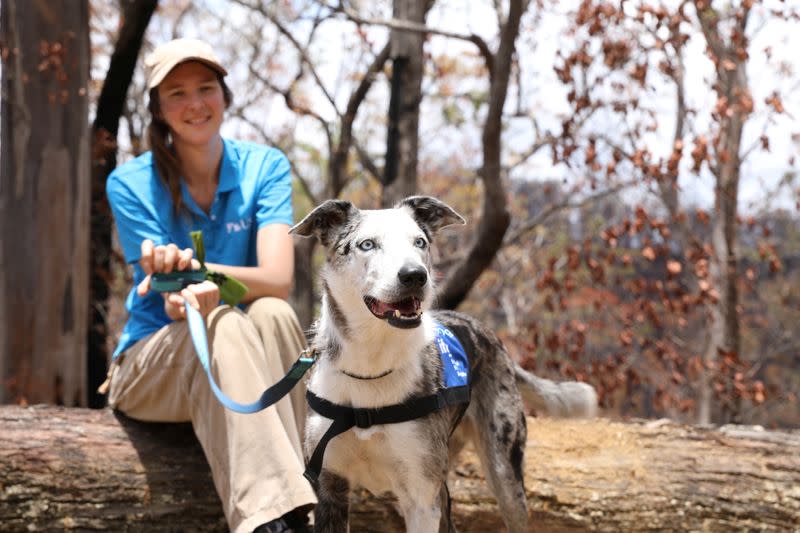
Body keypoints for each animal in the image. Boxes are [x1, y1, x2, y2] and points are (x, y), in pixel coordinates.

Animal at [290, 196, 596, 532]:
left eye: (419, 242)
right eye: (367, 244)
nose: (415, 275)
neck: (371, 367)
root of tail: (490, 335)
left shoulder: (421, 497)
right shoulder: (329, 487)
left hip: (504, 472)